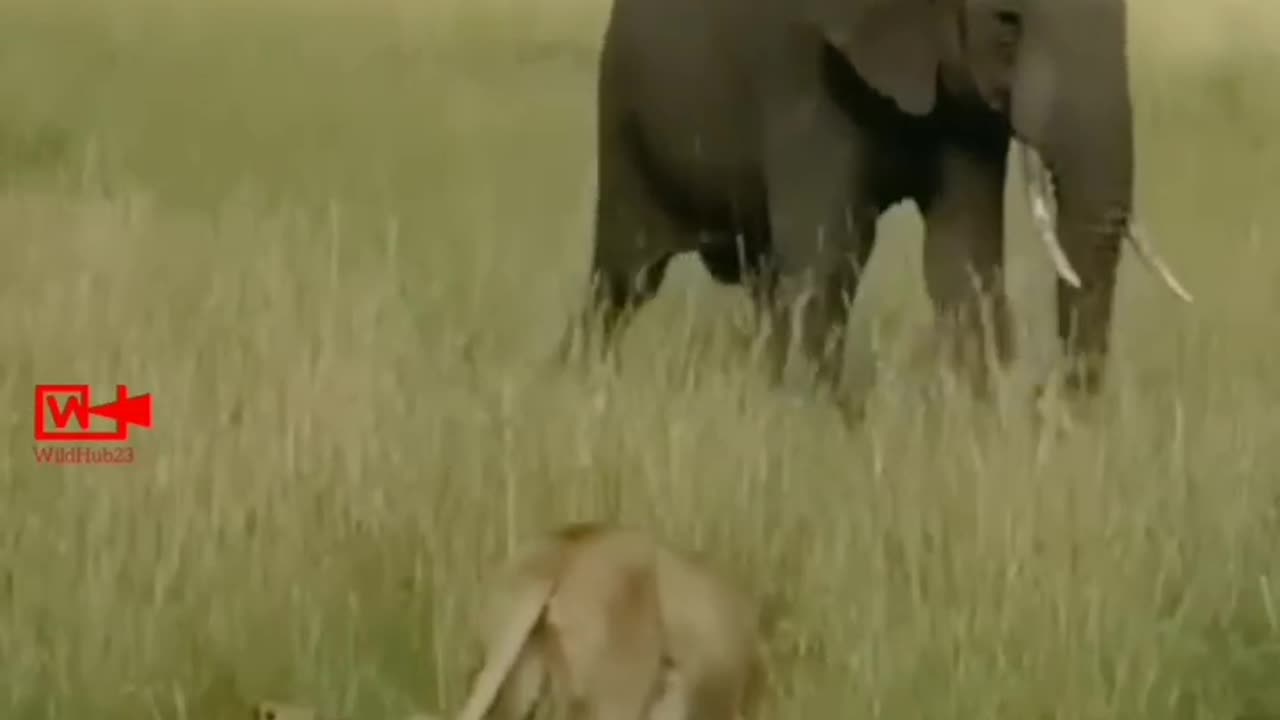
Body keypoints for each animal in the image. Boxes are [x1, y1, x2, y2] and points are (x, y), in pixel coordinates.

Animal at [560, 0, 1187, 404]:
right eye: (1007, 23)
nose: (1046, 400)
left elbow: (962, 261)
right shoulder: (802, 75)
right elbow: (830, 254)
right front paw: (820, 427)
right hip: (623, 117)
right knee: (622, 280)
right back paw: (581, 384)